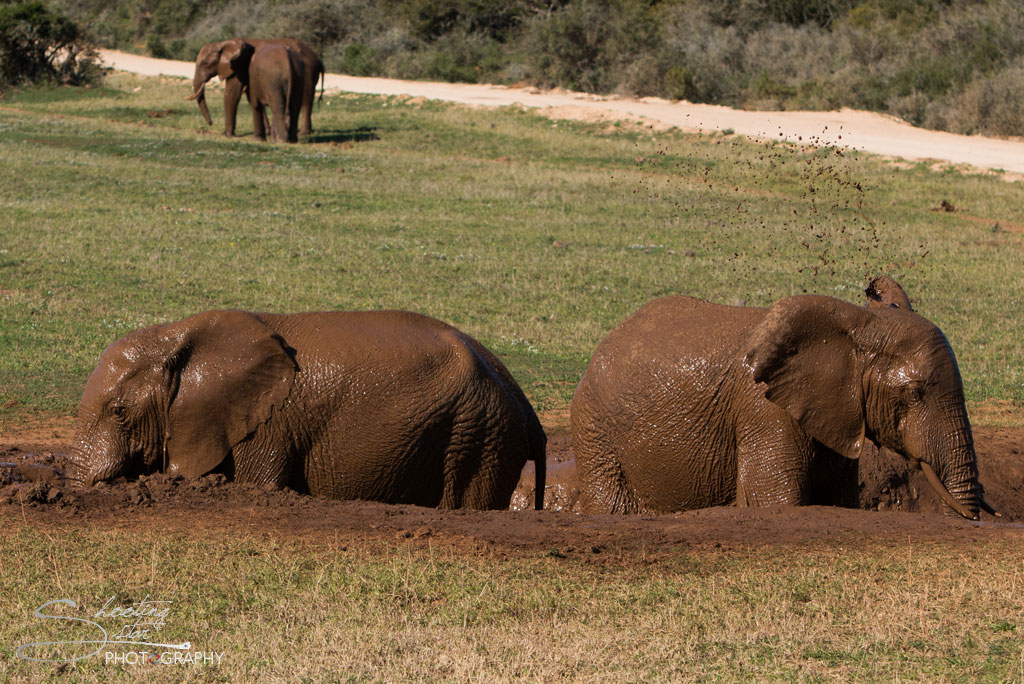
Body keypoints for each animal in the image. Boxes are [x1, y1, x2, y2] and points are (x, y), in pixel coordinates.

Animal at [68, 309, 546, 510]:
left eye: (119, 412)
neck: (180, 335)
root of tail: (527, 409)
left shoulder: (269, 424)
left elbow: (261, 481)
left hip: (477, 434)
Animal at [185, 38, 324, 137]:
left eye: (205, 63)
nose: (210, 124)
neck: (224, 43)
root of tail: (319, 60)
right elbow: (250, 96)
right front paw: (267, 132)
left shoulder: (237, 66)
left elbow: (231, 94)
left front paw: (228, 135)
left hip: (308, 72)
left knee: (306, 100)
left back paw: (303, 133)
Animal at [571, 278, 995, 519]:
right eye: (914, 393)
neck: (856, 325)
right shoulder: (765, 411)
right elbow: (774, 501)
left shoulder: (837, 412)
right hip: (595, 432)